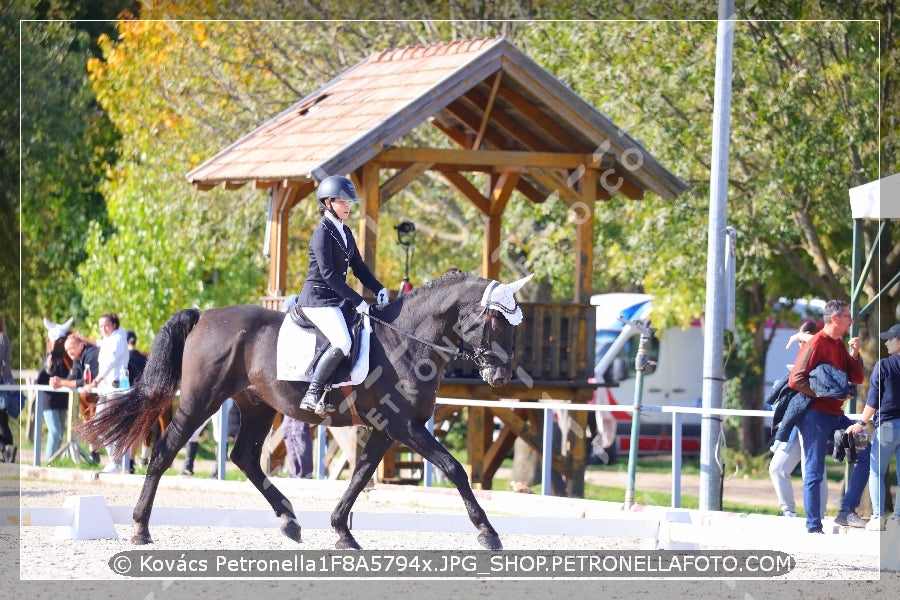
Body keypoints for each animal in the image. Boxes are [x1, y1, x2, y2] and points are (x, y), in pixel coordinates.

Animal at [79, 270, 536, 548]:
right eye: (495, 320)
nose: (499, 376)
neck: (408, 341)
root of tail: (204, 315)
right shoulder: (406, 427)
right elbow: (454, 469)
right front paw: (488, 533)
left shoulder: (387, 428)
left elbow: (360, 476)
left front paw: (341, 531)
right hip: (199, 401)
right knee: (164, 451)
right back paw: (140, 528)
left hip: (257, 406)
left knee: (244, 457)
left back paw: (289, 519)